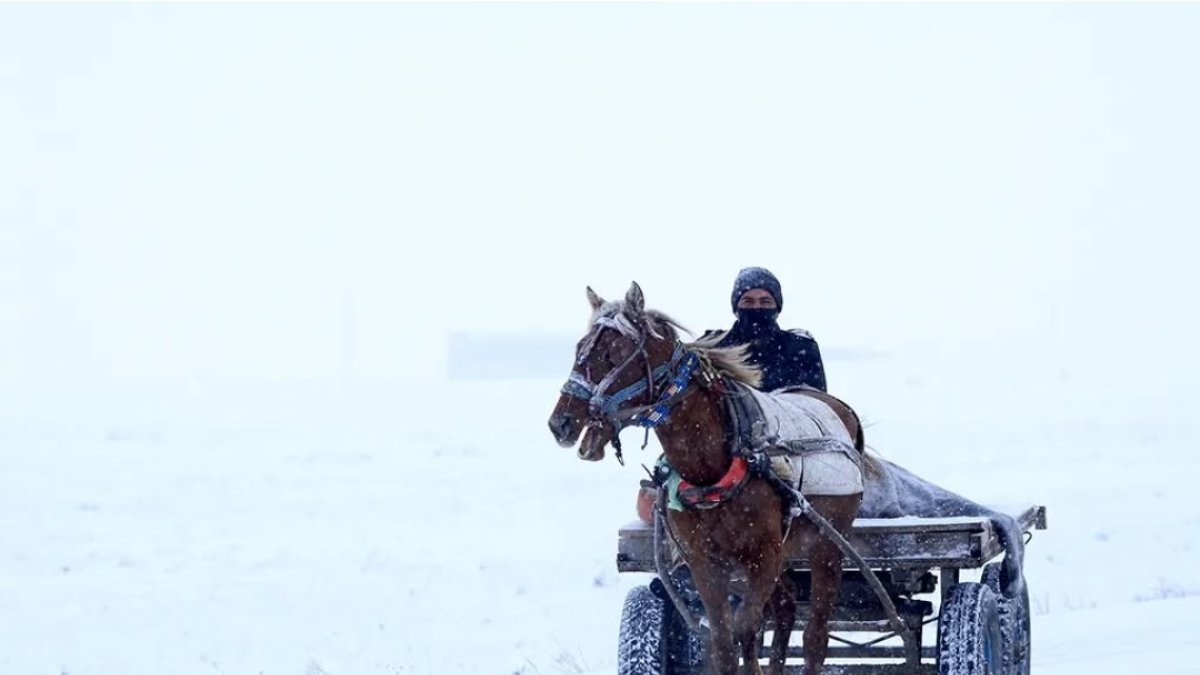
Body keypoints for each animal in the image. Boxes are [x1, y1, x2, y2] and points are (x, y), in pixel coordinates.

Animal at [547, 279, 873, 672]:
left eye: (613, 352)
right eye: (580, 347)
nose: (561, 422)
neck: (712, 468)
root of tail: (841, 411)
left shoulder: (762, 558)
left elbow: (745, 629)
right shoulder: (705, 564)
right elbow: (724, 642)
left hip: (827, 547)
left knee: (815, 637)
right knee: (785, 608)